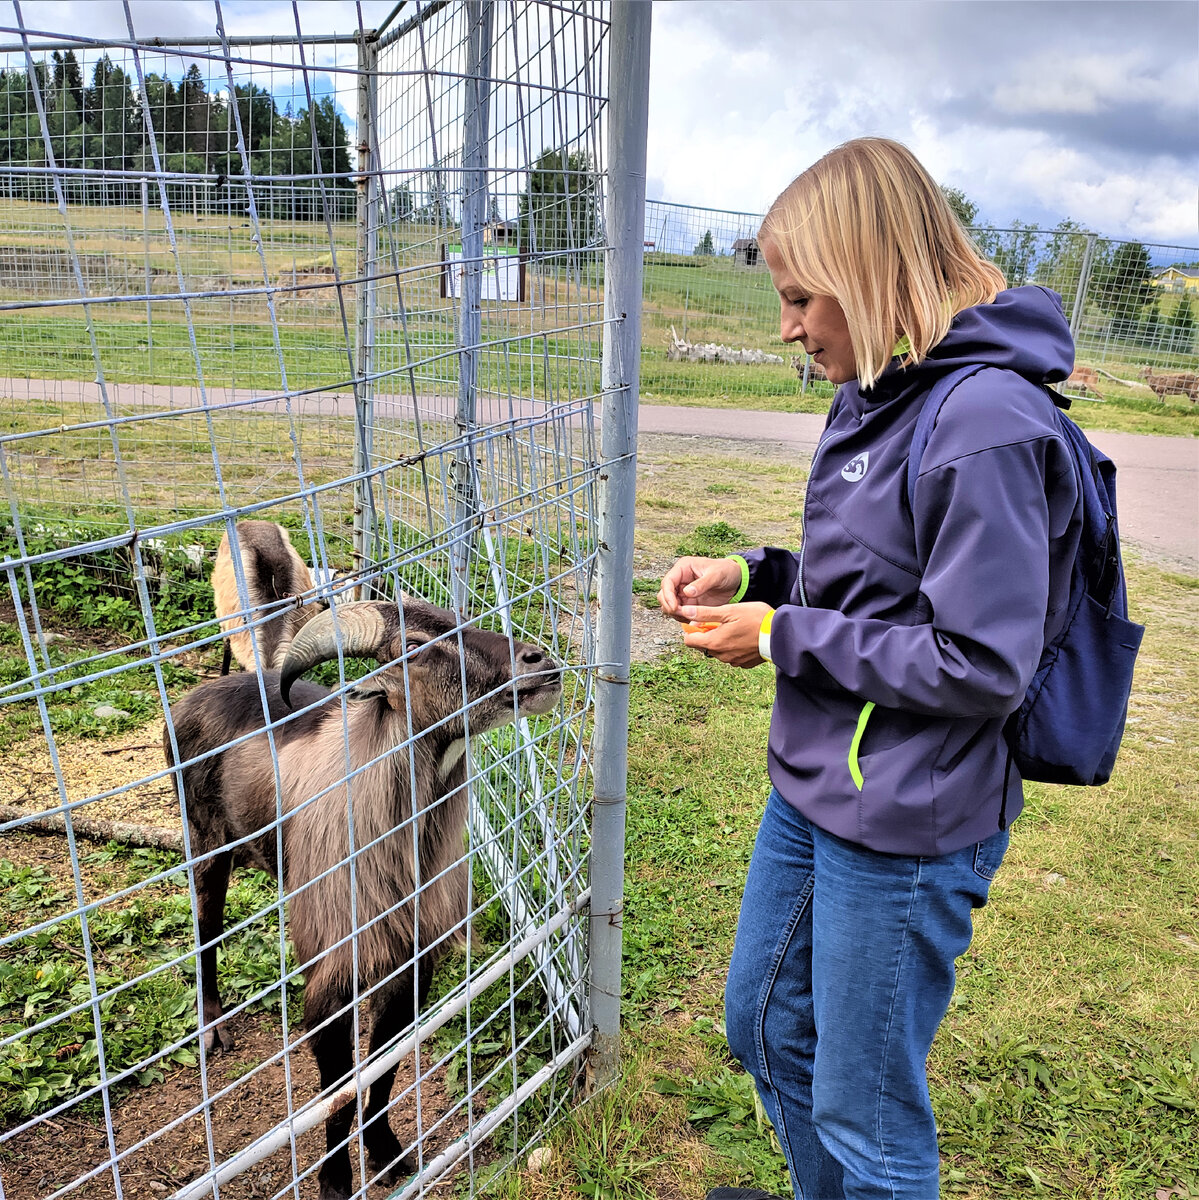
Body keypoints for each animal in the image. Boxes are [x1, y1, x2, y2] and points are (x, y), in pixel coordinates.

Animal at [164, 600, 561, 1200]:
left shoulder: (409, 961)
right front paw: (334, 1181)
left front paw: (388, 1154)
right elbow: (338, 1085)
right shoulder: (333, 976)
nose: (539, 662)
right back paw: (212, 1027)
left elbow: (384, 1064)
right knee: (206, 928)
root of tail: (192, 699)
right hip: (206, 842)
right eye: (415, 648)